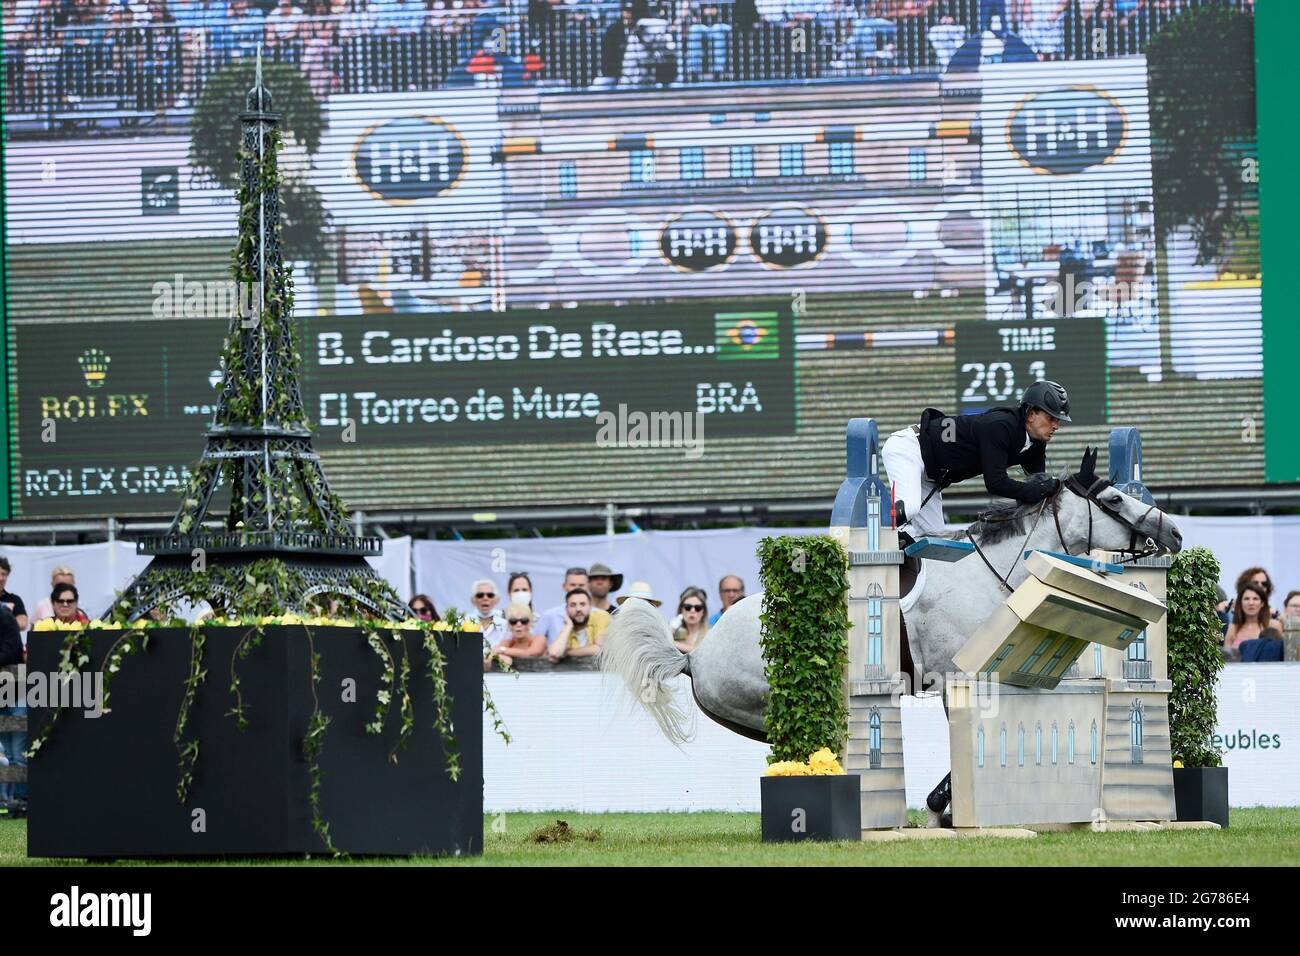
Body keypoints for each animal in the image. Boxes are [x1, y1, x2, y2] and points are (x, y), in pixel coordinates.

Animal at [603, 452, 1185, 816]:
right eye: (1114, 499)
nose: (1174, 533)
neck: (994, 570)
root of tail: (693, 657)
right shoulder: (955, 677)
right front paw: (939, 806)